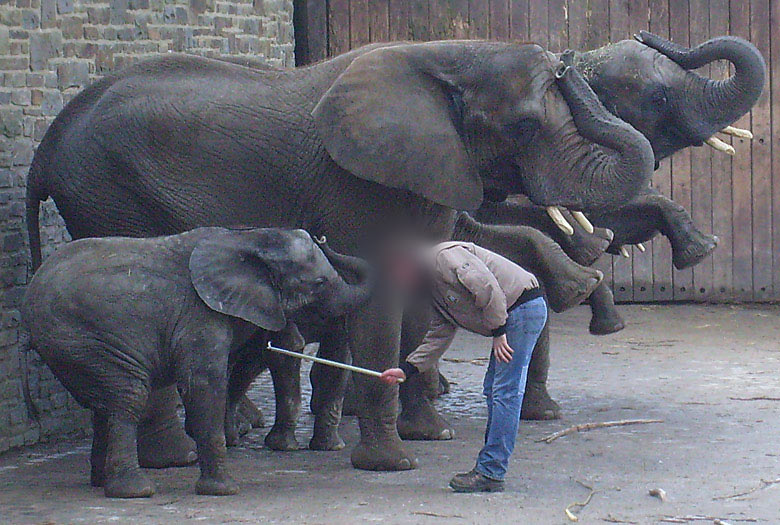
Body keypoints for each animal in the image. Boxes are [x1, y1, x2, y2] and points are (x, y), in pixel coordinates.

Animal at [23, 227, 374, 498]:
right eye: (319, 283)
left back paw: (101, 483)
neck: (248, 238)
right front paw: (225, 490)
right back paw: (135, 491)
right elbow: (204, 384)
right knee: (128, 396)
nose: (323, 236)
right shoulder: (200, 315)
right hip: (84, 338)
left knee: (104, 404)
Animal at [27, 41, 656, 468]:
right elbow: (382, 302)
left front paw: (430, 436)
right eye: (523, 126)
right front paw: (392, 464)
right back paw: (176, 458)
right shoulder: (359, 185)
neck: (446, 57)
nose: (566, 61)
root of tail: (48, 142)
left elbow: (419, 293)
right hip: (107, 195)